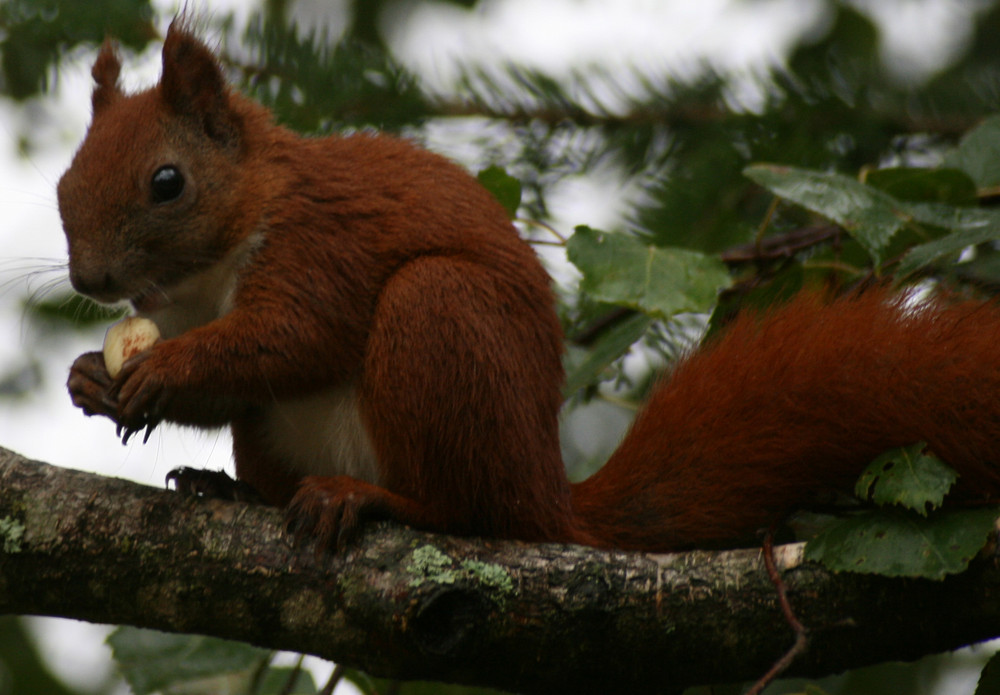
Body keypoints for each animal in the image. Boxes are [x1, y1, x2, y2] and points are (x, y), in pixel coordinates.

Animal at [56, 21, 1000, 552]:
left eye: (167, 182)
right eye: (66, 183)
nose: (91, 279)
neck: (208, 271)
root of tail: (550, 498)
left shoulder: (321, 246)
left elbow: (291, 337)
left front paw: (164, 370)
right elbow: (237, 383)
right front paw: (92, 379)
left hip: (440, 322)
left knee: (466, 512)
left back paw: (371, 499)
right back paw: (233, 487)